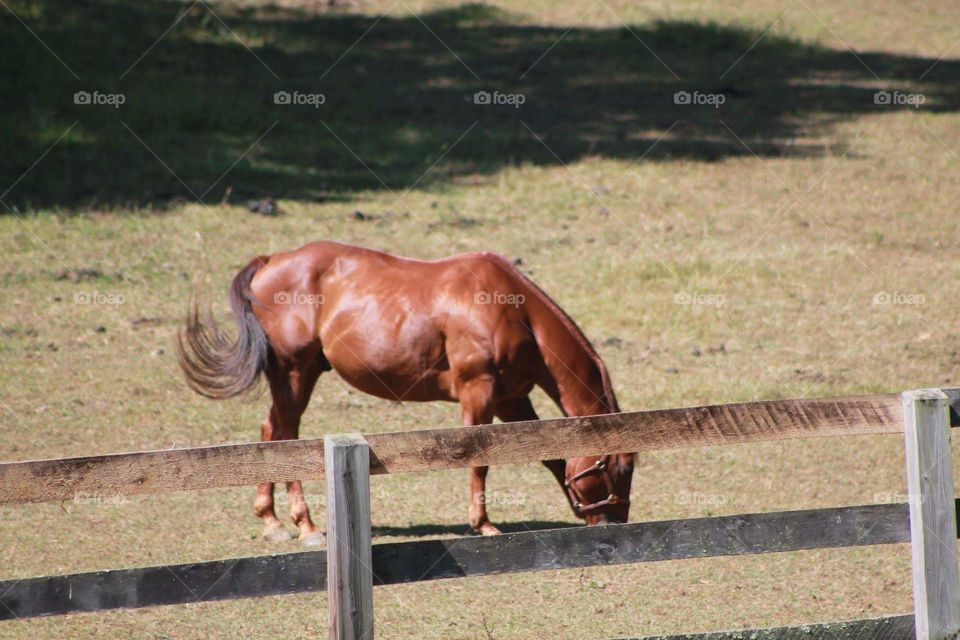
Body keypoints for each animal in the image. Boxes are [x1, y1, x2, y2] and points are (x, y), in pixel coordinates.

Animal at [177, 241, 634, 544]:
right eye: (620, 468)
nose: (618, 525)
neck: (514, 310)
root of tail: (271, 261)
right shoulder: (479, 393)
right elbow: (481, 461)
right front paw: (483, 524)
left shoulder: (510, 398)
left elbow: (550, 457)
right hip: (294, 374)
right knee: (285, 434)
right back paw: (304, 525)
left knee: (270, 431)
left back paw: (271, 520)